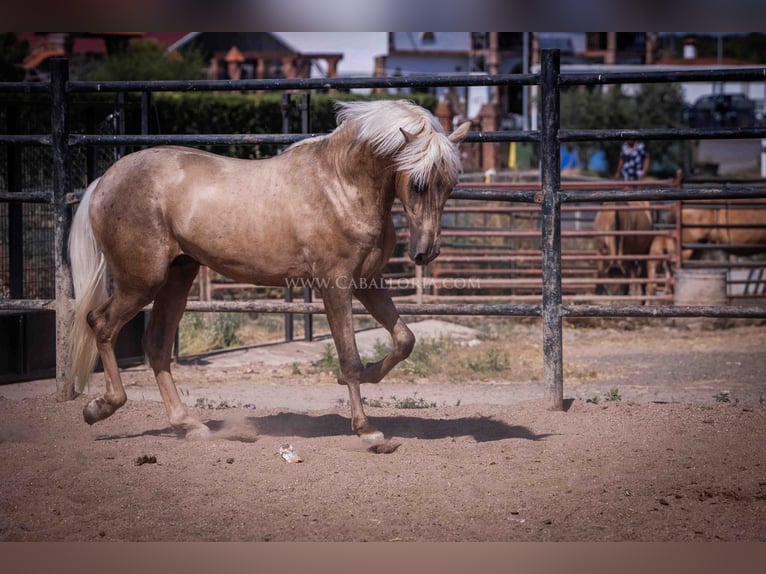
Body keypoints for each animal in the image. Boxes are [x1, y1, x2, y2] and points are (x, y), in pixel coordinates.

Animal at [69, 99, 472, 444]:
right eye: (418, 183)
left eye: (450, 184)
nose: (426, 252)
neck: (340, 187)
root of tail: (103, 182)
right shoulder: (335, 285)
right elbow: (350, 357)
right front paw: (366, 430)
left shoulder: (367, 283)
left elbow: (404, 339)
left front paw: (365, 377)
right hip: (142, 282)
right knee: (101, 324)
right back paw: (99, 408)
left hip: (177, 277)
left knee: (155, 345)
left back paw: (188, 425)